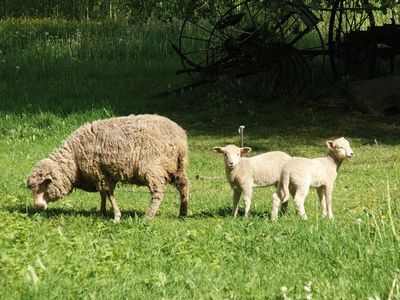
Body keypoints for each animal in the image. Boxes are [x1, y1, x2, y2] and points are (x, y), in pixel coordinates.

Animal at [27, 114, 190, 220]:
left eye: (45, 184)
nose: (37, 206)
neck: (74, 158)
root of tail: (179, 138)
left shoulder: (100, 173)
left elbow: (108, 193)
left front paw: (116, 216)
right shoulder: (102, 174)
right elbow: (103, 194)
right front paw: (102, 212)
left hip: (154, 168)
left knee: (158, 193)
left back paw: (148, 216)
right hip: (177, 167)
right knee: (184, 186)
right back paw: (182, 213)